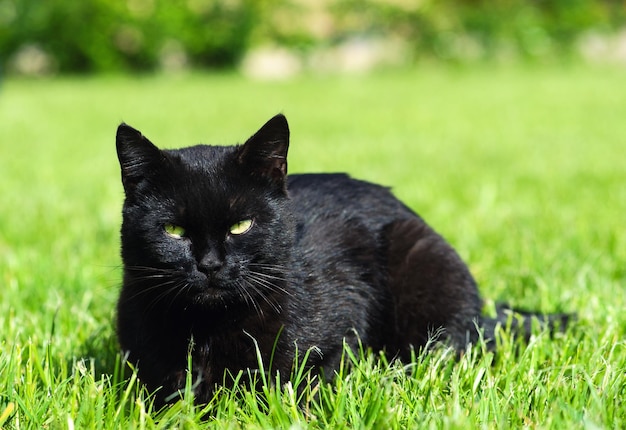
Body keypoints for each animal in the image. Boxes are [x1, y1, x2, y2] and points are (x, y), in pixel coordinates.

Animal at [116, 113, 564, 404]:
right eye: (174, 230)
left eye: (241, 225)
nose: (209, 264)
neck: (208, 327)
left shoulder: (339, 332)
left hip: (424, 259)